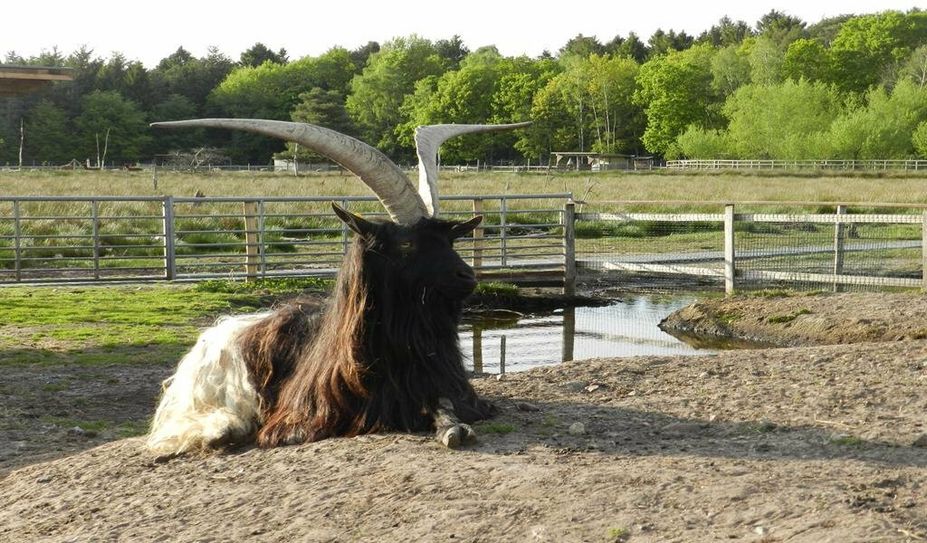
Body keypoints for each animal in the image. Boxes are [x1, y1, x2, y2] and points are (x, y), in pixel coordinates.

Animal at [148, 119, 528, 454]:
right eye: (407, 244)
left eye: (449, 241)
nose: (468, 277)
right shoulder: (303, 417)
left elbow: (446, 407)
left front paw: (453, 428)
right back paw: (218, 432)